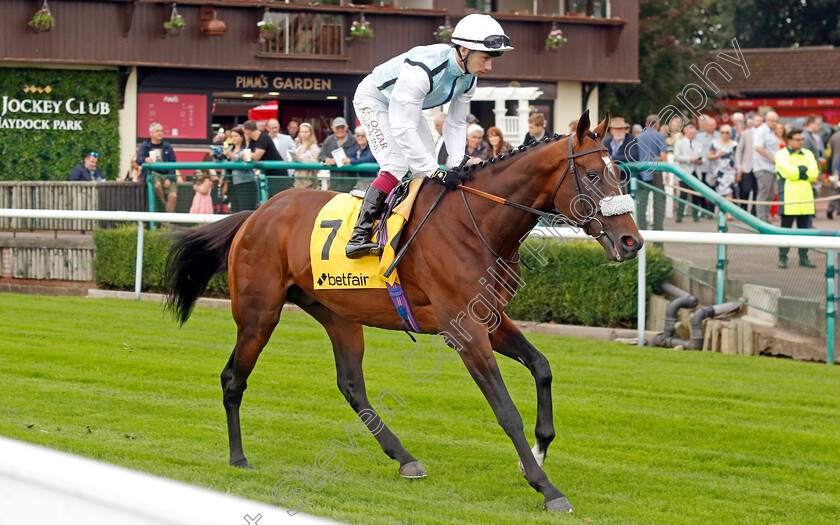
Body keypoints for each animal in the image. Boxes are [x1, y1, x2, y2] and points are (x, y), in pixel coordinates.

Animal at [169, 111, 644, 512]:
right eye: (592, 174)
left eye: (620, 173)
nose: (631, 242)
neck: (478, 223)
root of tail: (255, 213)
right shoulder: (464, 331)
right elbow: (506, 409)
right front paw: (546, 487)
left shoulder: (489, 319)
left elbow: (542, 366)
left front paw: (540, 449)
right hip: (259, 313)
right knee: (233, 377)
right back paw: (238, 457)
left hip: (338, 314)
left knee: (351, 385)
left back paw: (404, 457)